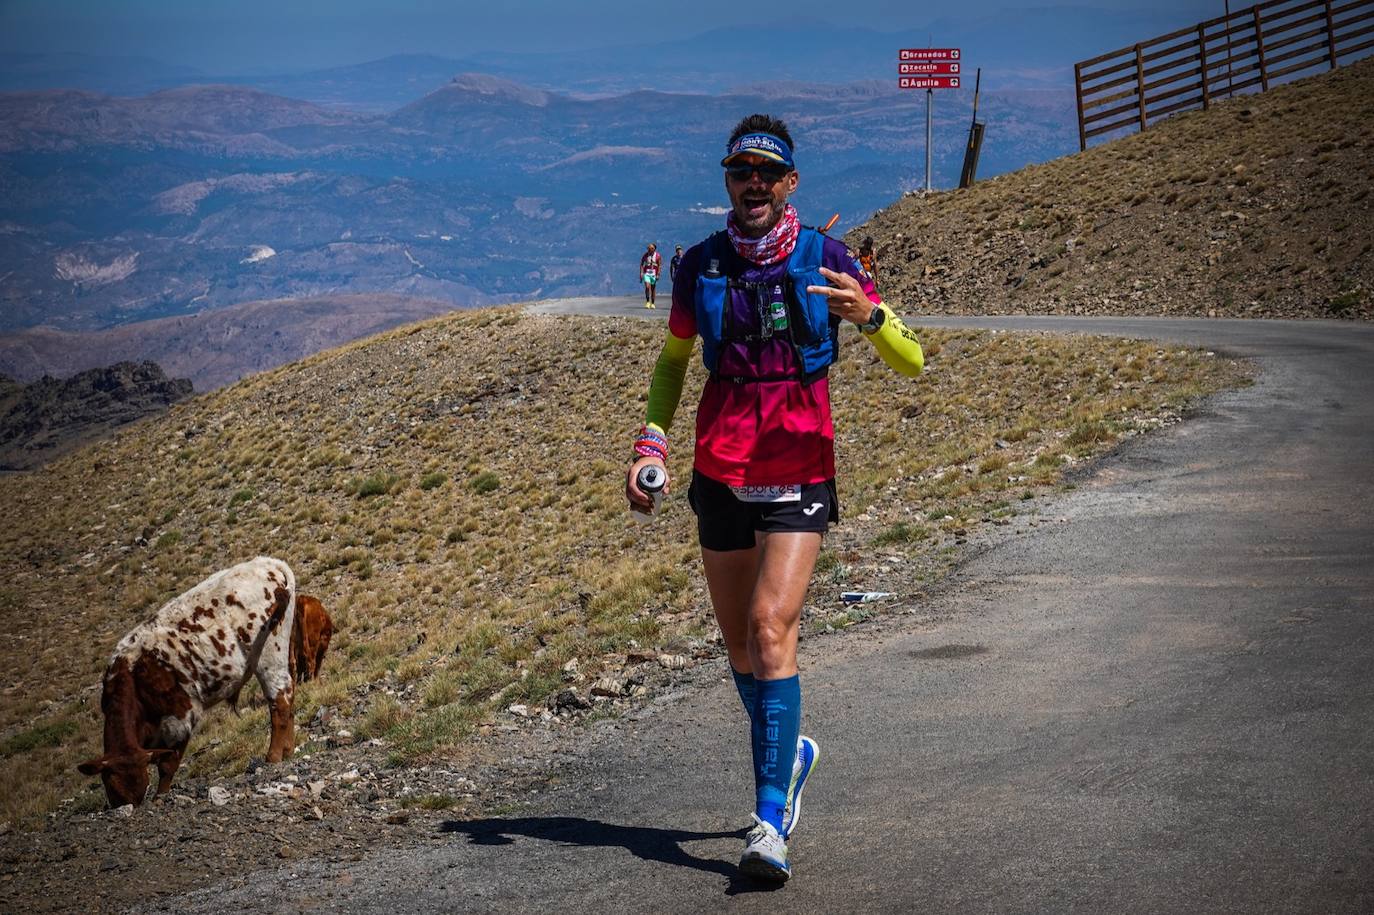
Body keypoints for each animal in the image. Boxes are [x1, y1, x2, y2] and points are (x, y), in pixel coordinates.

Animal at [78, 555, 298, 807]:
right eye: (111, 783)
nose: (126, 806)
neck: (133, 677)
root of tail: (267, 563)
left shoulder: (180, 715)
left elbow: (168, 765)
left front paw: (160, 797)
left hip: (269, 654)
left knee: (279, 700)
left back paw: (273, 756)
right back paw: (288, 750)